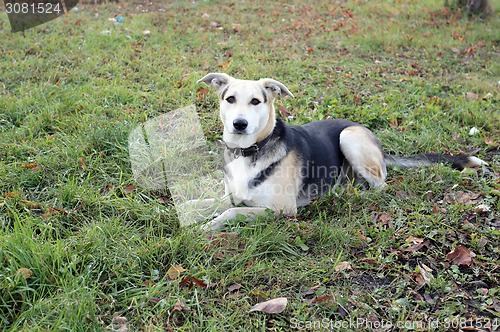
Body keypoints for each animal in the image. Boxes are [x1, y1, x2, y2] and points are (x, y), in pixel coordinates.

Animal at [195, 73, 484, 230]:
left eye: (256, 101)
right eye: (230, 99)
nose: (239, 124)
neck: (249, 151)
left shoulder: (282, 209)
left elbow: (232, 212)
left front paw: (206, 227)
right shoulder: (229, 196)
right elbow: (200, 203)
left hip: (349, 137)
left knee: (381, 186)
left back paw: (346, 194)